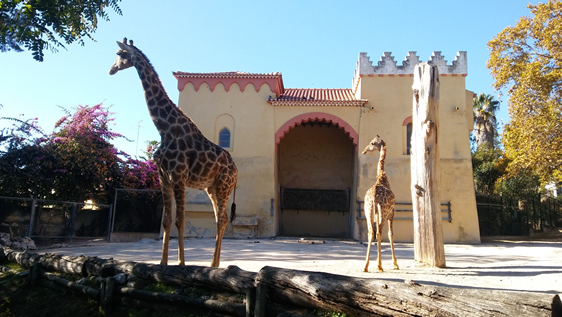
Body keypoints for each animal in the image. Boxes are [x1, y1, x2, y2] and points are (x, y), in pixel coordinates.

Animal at [109, 37, 236, 266]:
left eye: (120, 54)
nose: (111, 70)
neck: (164, 128)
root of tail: (237, 170)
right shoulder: (163, 177)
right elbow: (167, 220)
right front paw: (162, 263)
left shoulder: (178, 177)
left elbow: (180, 220)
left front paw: (181, 263)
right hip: (211, 188)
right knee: (219, 219)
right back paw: (214, 264)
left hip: (224, 185)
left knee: (221, 219)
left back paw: (213, 264)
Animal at [360, 135, 396, 270]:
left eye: (372, 143)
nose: (364, 151)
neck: (382, 178)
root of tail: (374, 197)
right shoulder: (392, 213)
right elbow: (391, 234)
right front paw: (395, 264)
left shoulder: (376, 214)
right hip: (383, 213)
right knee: (380, 232)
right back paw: (380, 266)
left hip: (368, 211)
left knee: (371, 232)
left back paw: (366, 266)